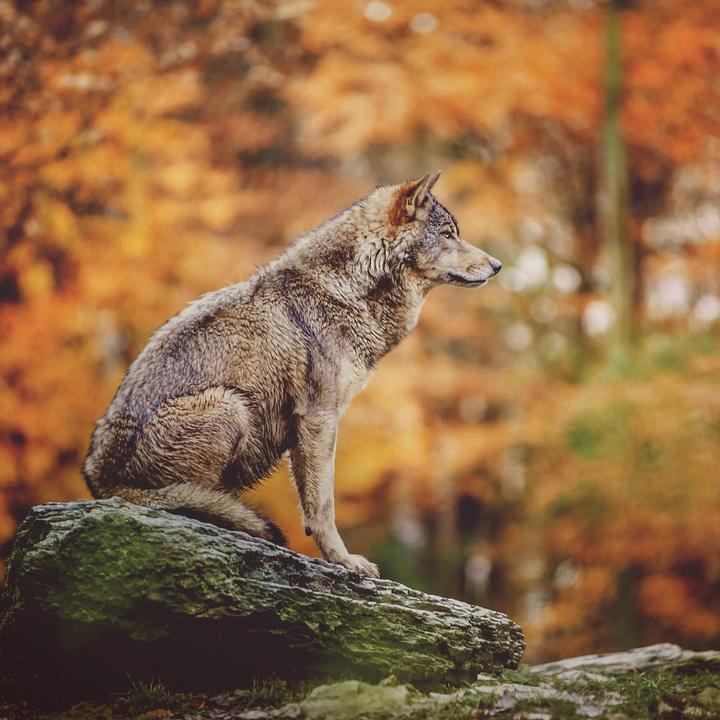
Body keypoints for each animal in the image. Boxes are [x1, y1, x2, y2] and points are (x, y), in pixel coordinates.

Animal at [83, 171, 501, 577]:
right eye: (448, 234)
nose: (498, 266)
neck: (348, 290)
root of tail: (99, 478)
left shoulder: (307, 428)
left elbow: (312, 504)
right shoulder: (320, 418)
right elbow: (323, 505)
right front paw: (345, 562)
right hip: (230, 406)